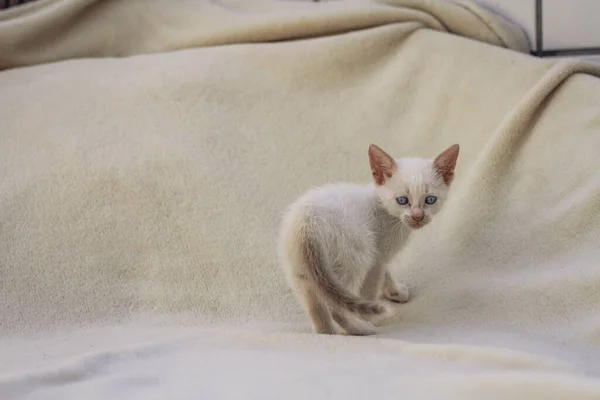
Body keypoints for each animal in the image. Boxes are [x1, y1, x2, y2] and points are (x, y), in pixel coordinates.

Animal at [278, 144, 460, 334]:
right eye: (402, 200)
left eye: (430, 199)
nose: (418, 216)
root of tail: (307, 226)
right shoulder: (375, 259)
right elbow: (371, 288)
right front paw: (372, 316)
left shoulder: (378, 253)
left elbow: (386, 274)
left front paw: (395, 292)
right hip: (353, 258)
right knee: (336, 307)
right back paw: (361, 329)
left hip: (301, 272)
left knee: (316, 306)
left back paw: (328, 333)